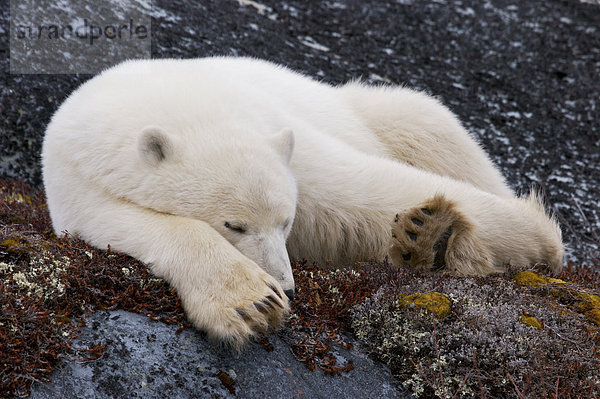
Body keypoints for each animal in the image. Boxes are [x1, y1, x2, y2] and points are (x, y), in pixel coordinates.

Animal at [42, 57, 564, 346]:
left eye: (286, 222)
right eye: (234, 225)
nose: (287, 285)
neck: (176, 103)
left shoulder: (282, 137)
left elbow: (359, 194)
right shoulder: (76, 181)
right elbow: (122, 224)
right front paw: (250, 303)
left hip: (370, 111)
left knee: (427, 124)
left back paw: (432, 235)